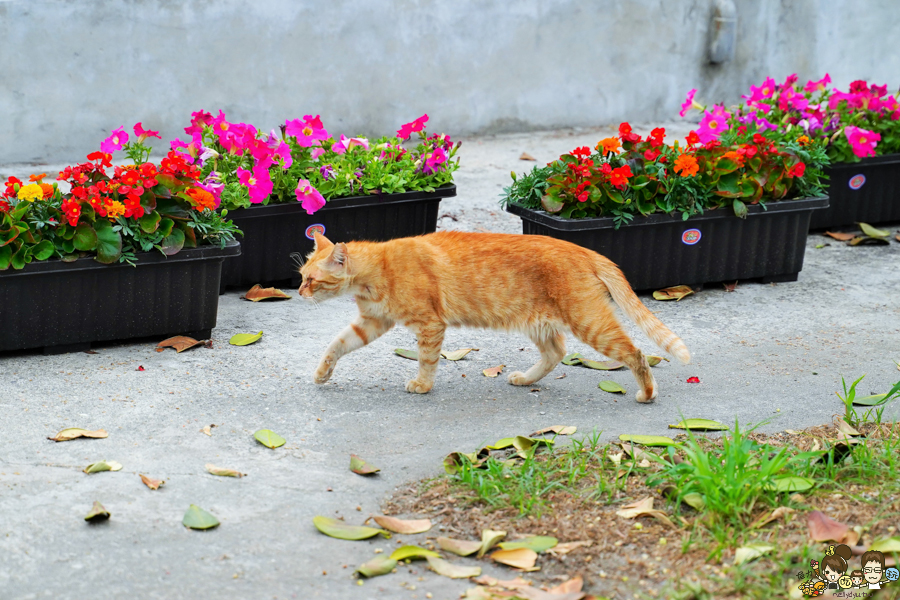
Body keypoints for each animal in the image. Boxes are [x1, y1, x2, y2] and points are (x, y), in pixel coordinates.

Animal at [300, 231, 688, 404]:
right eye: (301, 276)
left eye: (311, 279)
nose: (300, 293)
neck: (379, 267)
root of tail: (584, 249)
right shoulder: (372, 323)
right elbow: (337, 344)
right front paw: (322, 373)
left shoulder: (429, 325)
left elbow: (426, 361)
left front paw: (422, 385)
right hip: (540, 323)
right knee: (556, 352)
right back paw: (525, 378)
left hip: (590, 323)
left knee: (635, 353)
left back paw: (647, 393)